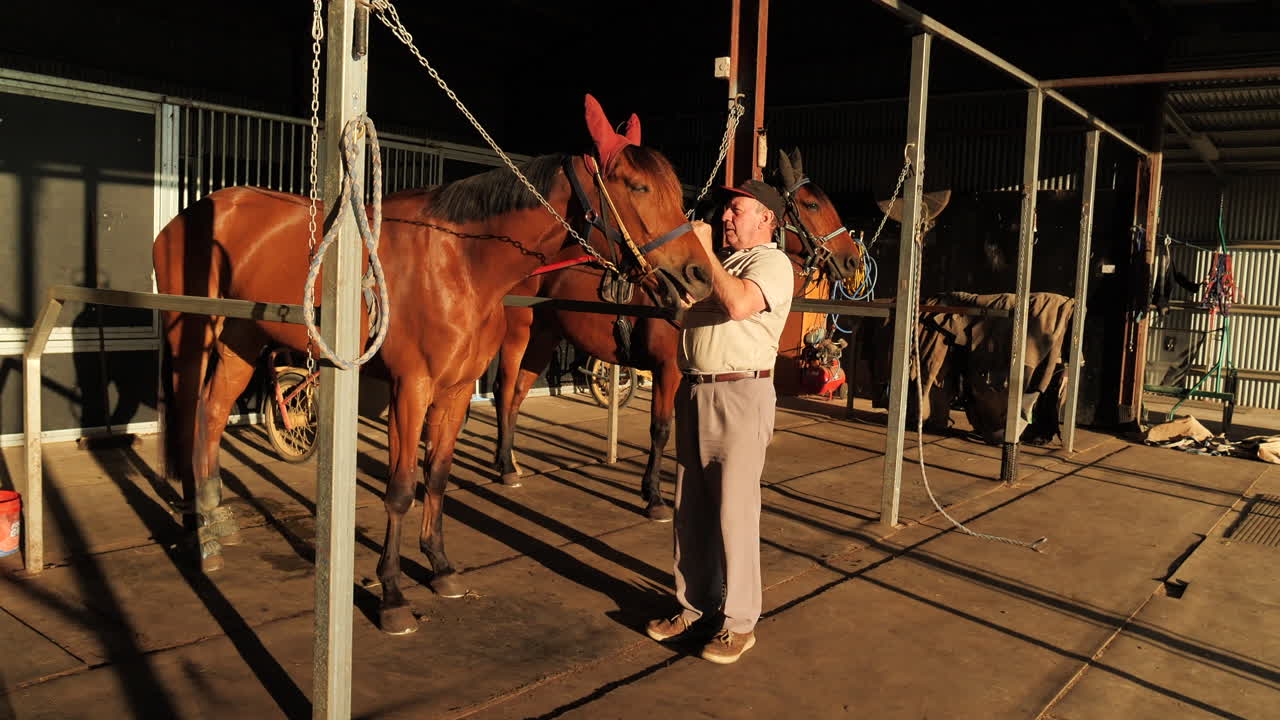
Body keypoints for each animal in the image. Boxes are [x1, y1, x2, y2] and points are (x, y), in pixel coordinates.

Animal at [152, 95, 716, 634]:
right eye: (638, 186)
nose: (699, 275)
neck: (461, 262)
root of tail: (191, 215)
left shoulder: (456, 389)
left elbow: (438, 477)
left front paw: (440, 566)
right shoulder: (412, 387)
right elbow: (401, 489)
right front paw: (392, 595)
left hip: (241, 342)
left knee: (211, 414)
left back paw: (214, 517)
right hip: (191, 337)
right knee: (190, 414)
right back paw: (200, 535)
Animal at [492, 148, 865, 520]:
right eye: (812, 204)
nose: (852, 261)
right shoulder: (667, 368)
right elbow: (661, 429)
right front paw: (654, 497)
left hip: (545, 334)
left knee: (519, 391)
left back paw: (512, 460)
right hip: (518, 334)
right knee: (504, 389)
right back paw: (505, 466)